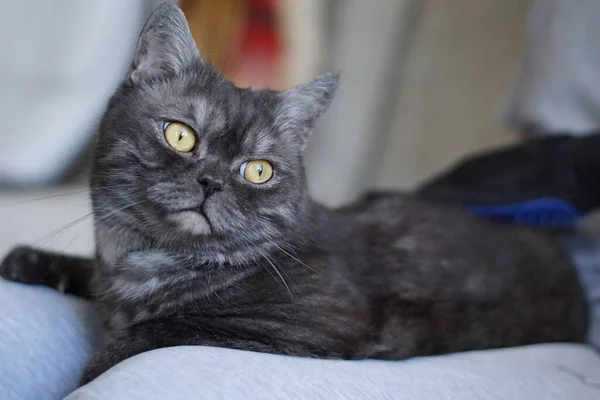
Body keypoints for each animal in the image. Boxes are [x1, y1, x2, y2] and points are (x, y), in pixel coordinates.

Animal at [0, 2, 592, 384]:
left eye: (258, 171)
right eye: (180, 135)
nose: (211, 180)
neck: (139, 262)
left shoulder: (307, 326)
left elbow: (164, 328)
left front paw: (96, 364)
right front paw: (33, 260)